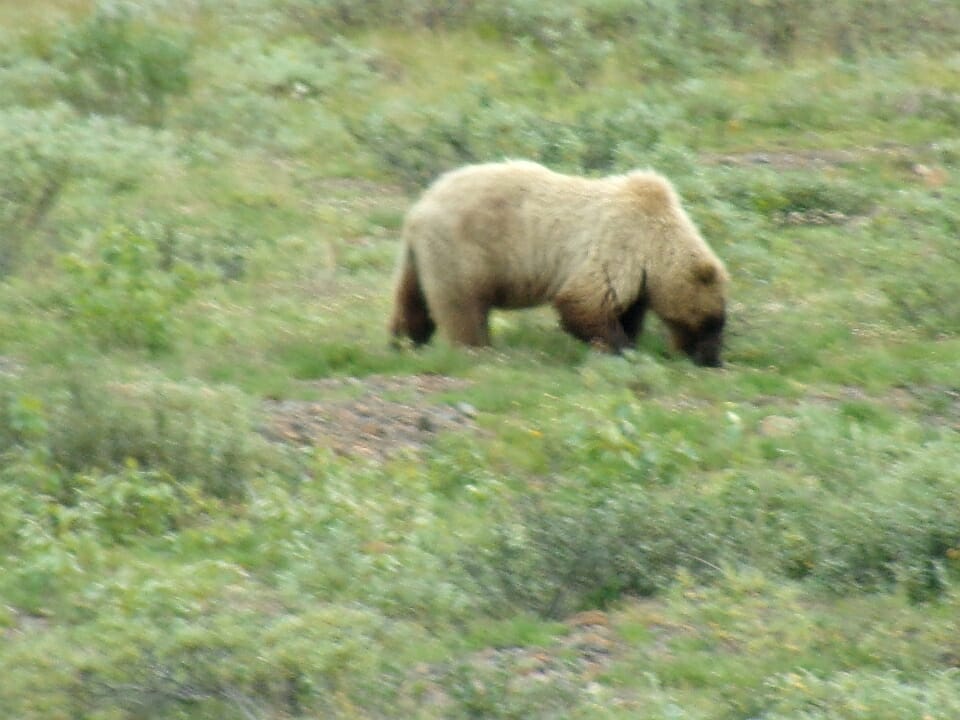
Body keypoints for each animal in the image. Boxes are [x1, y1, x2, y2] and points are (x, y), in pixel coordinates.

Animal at [390, 161, 728, 368]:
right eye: (712, 321)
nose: (711, 359)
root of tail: (418, 211)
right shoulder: (619, 244)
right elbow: (583, 301)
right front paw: (619, 347)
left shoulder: (637, 272)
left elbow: (626, 310)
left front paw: (628, 340)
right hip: (464, 253)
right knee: (463, 308)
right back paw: (477, 349)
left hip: (422, 258)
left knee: (413, 302)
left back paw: (403, 343)